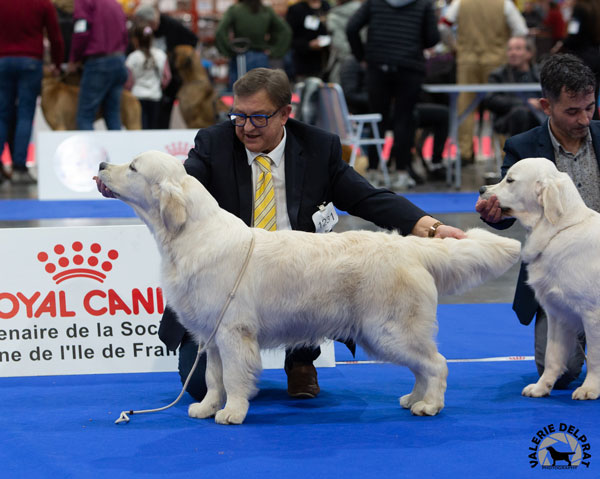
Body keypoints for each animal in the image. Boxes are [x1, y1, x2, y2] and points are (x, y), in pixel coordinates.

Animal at [98, 152, 520, 426]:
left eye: (133, 167)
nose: (101, 166)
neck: (191, 236)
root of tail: (409, 246)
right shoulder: (211, 335)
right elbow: (214, 378)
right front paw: (207, 408)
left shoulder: (233, 332)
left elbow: (233, 377)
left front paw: (232, 412)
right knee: (422, 366)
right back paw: (413, 398)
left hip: (390, 330)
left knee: (437, 364)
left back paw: (429, 405)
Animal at [478, 158, 600, 402]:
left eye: (510, 180)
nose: (482, 189)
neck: (560, 230)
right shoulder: (558, 312)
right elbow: (552, 356)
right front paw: (541, 387)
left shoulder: (593, 314)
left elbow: (594, 357)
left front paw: (590, 388)